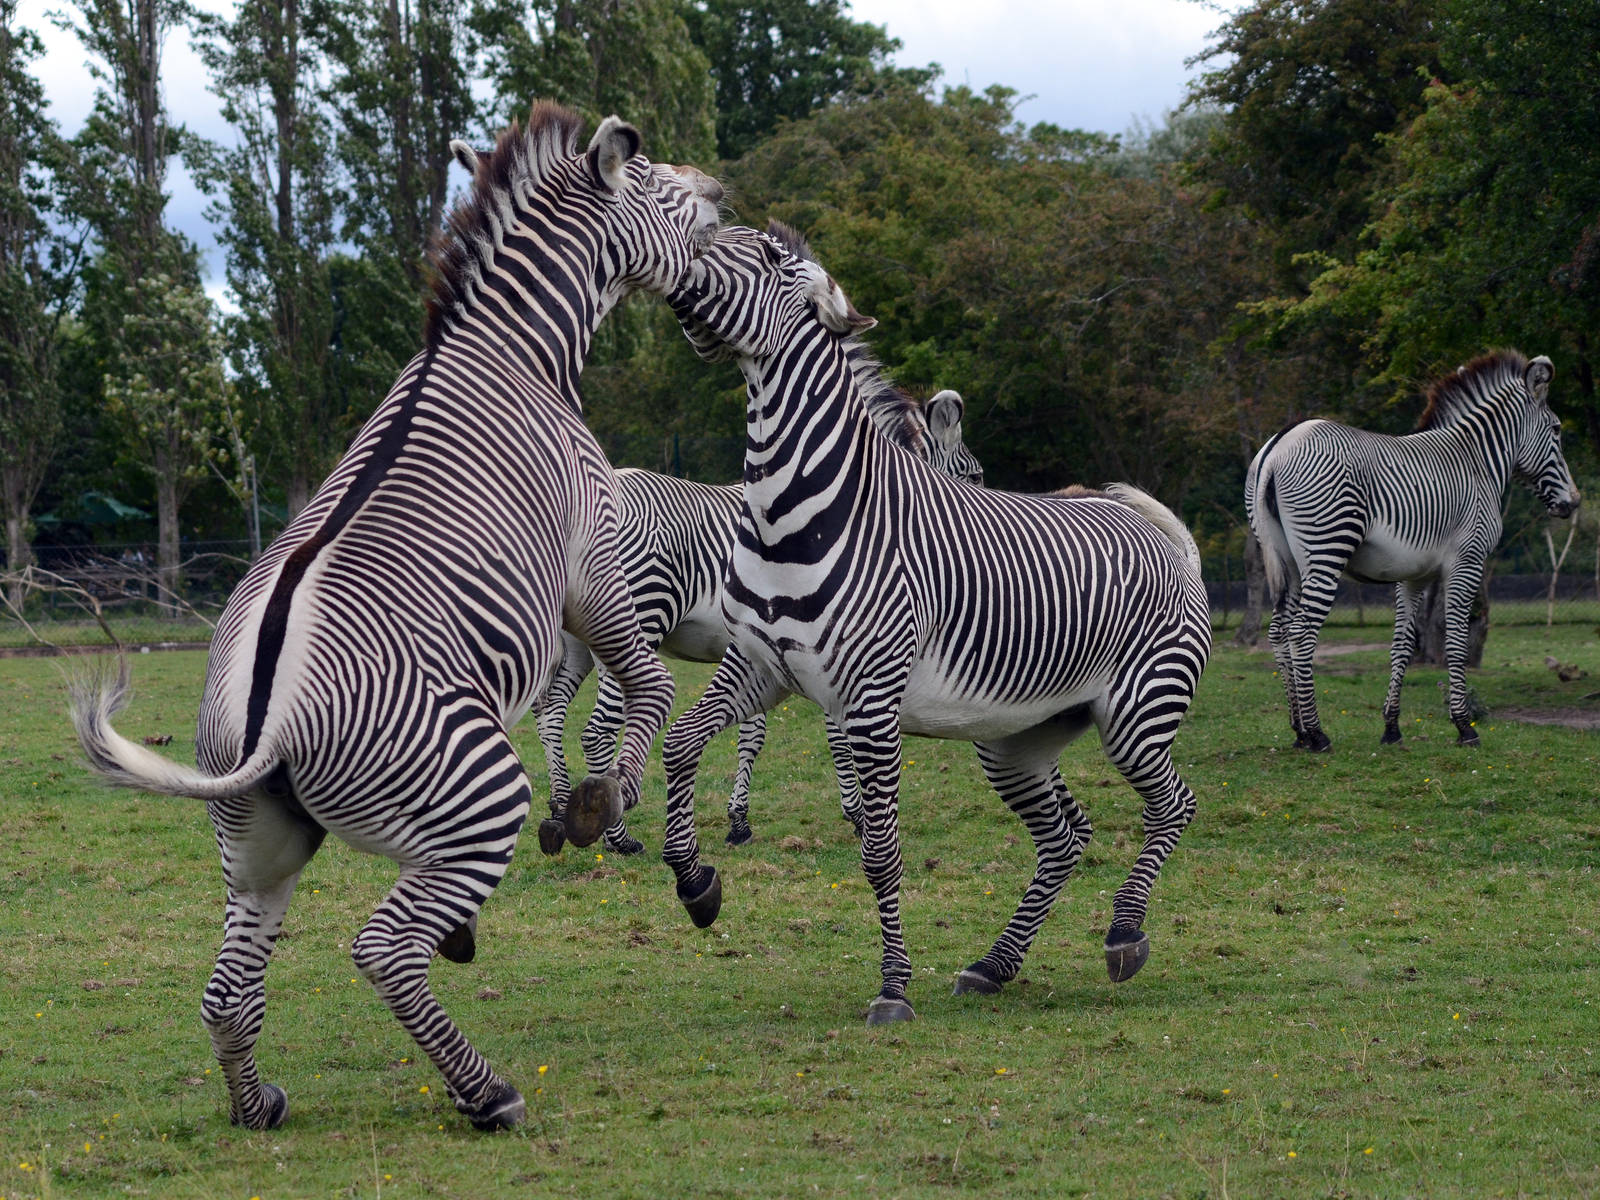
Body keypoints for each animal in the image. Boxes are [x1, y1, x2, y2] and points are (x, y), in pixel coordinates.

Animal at [67, 103, 723, 1131]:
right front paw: (619, 812)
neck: (514, 349)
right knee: (381, 950)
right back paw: (488, 1092)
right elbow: (647, 688)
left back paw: (260, 1105)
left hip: (259, 846)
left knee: (226, 993)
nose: (722, 190)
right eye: (656, 179)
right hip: (478, 789)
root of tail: (268, 718)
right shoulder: (591, 565)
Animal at [535, 378, 982, 856]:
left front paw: (739, 821)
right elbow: (837, 734)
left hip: (579, 638)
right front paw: (858, 816)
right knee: (597, 730)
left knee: (551, 713)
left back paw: (560, 813)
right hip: (637, 619)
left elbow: (752, 735)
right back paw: (618, 837)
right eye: (974, 476)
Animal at [655, 222, 1212, 1025]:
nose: (678, 255)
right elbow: (679, 746)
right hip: (1016, 739)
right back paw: (995, 963)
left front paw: (892, 988)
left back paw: (1124, 934)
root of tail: (1165, 540)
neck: (795, 512)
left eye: (766, 257)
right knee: (1065, 836)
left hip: (1138, 712)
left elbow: (880, 850)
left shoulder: (870, 700)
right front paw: (696, 884)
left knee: (1173, 807)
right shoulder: (759, 667)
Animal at [1245, 351, 1580, 751]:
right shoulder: (1467, 561)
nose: (1573, 502)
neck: (1477, 463)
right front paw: (1464, 726)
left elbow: (1402, 645)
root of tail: (1279, 444)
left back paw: (1297, 731)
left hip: (1288, 560)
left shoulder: (1413, 575)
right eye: (1557, 429)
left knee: (1279, 631)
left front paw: (1391, 727)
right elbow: (1455, 640)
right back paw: (1317, 733)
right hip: (1326, 550)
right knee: (1302, 632)